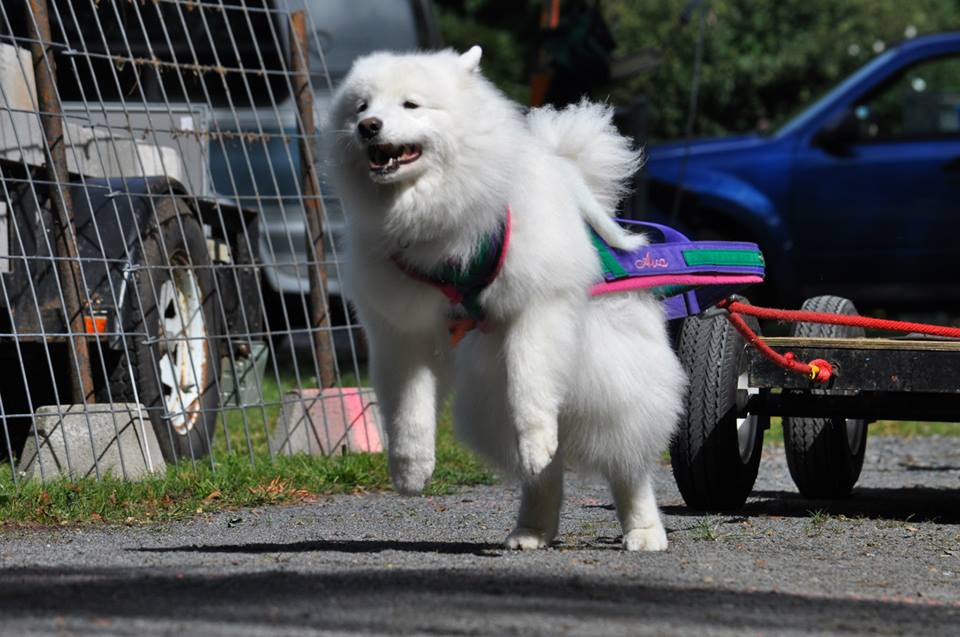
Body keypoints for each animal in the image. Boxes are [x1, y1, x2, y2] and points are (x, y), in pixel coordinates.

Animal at [326, 47, 688, 548]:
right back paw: (532, 530)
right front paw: (411, 470)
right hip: (488, 404)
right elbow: (407, 411)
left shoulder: (537, 309)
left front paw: (535, 439)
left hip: (612, 387)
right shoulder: (402, 333)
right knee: (545, 478)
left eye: (410, 105)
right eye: (361, 107)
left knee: (626, 465)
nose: (368, 126)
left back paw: (644, 531)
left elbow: (529, 385)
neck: (437, 223)